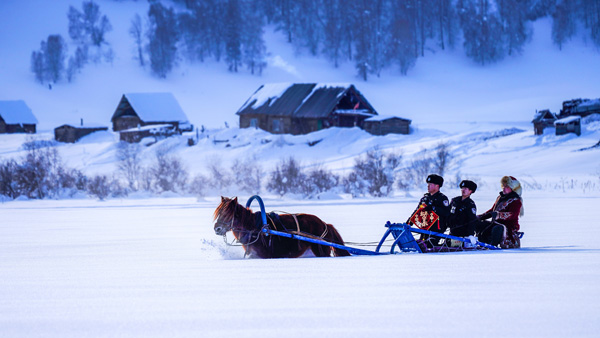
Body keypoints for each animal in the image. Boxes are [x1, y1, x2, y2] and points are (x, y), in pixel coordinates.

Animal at [212, 197, 350, 258]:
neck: (255, 228)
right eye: (219, 213)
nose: (217, 228)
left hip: (320, 251)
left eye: (228, 214)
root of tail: (324, 224)